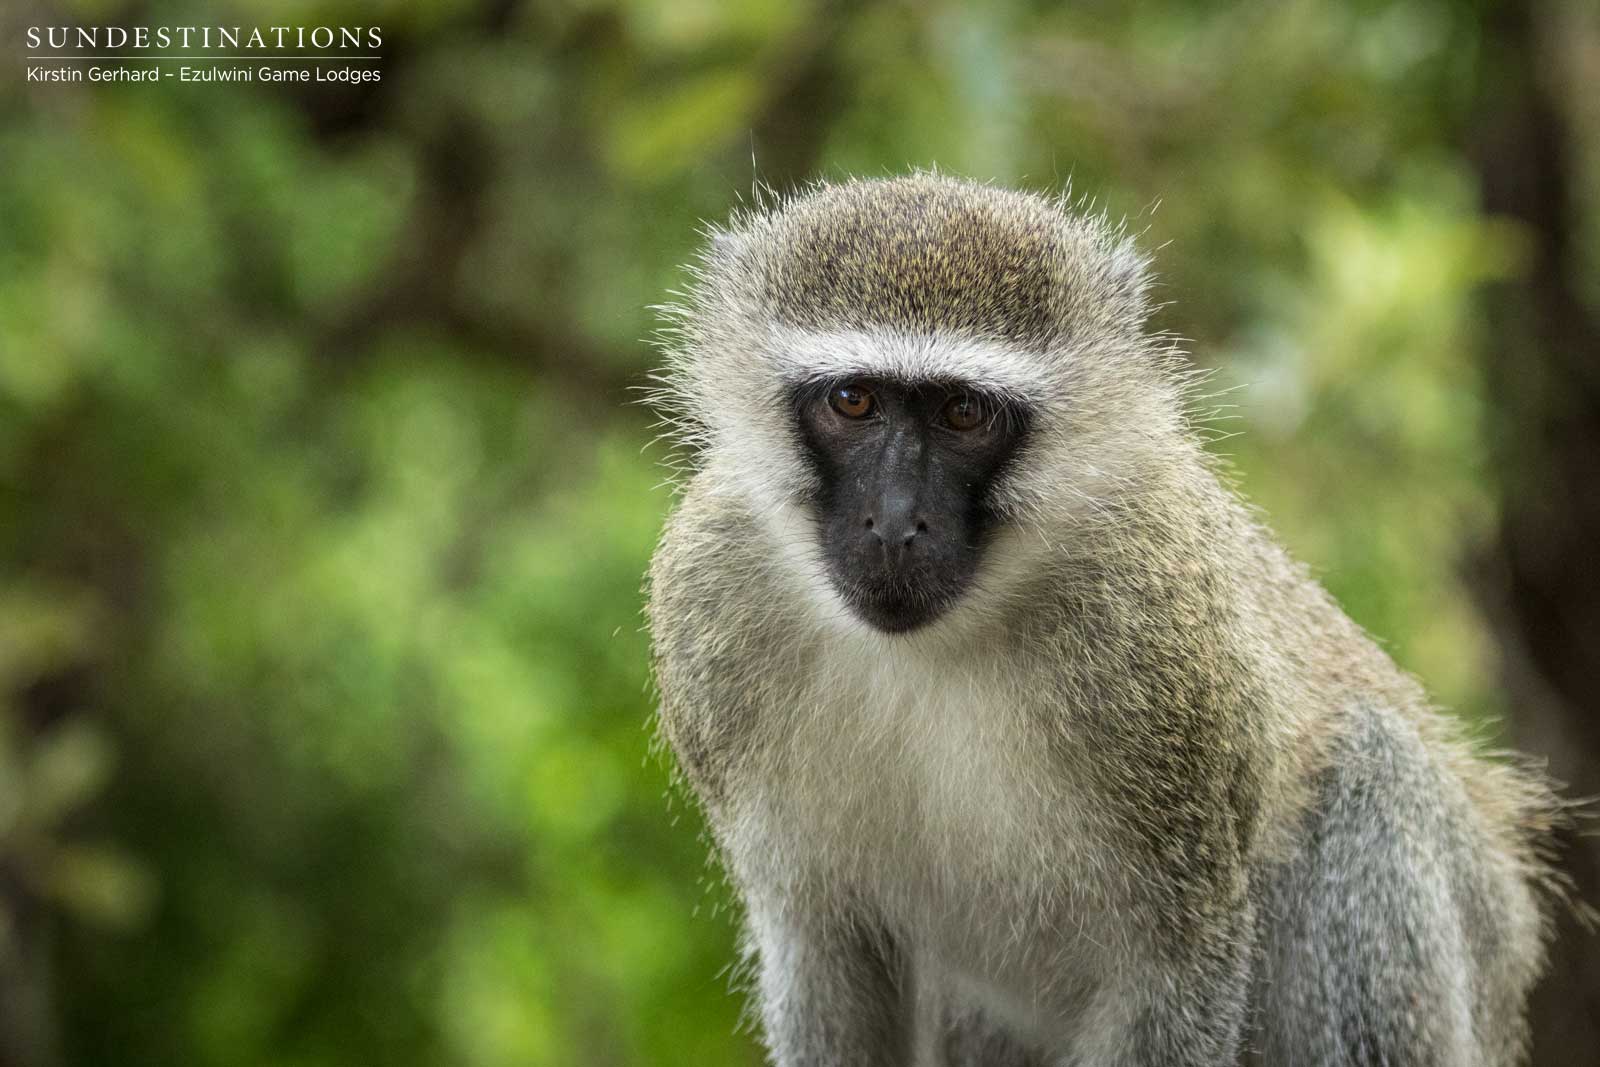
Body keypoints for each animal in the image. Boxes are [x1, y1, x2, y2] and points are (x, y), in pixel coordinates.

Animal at [645, 173, 1567, 1066]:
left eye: (964, 414)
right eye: (853, 401)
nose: (897, 523)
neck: (935, 646)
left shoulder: (1161, 657)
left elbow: (1179, 967)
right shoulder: (708, 597)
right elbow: (827, 958)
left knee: (1373, 775)